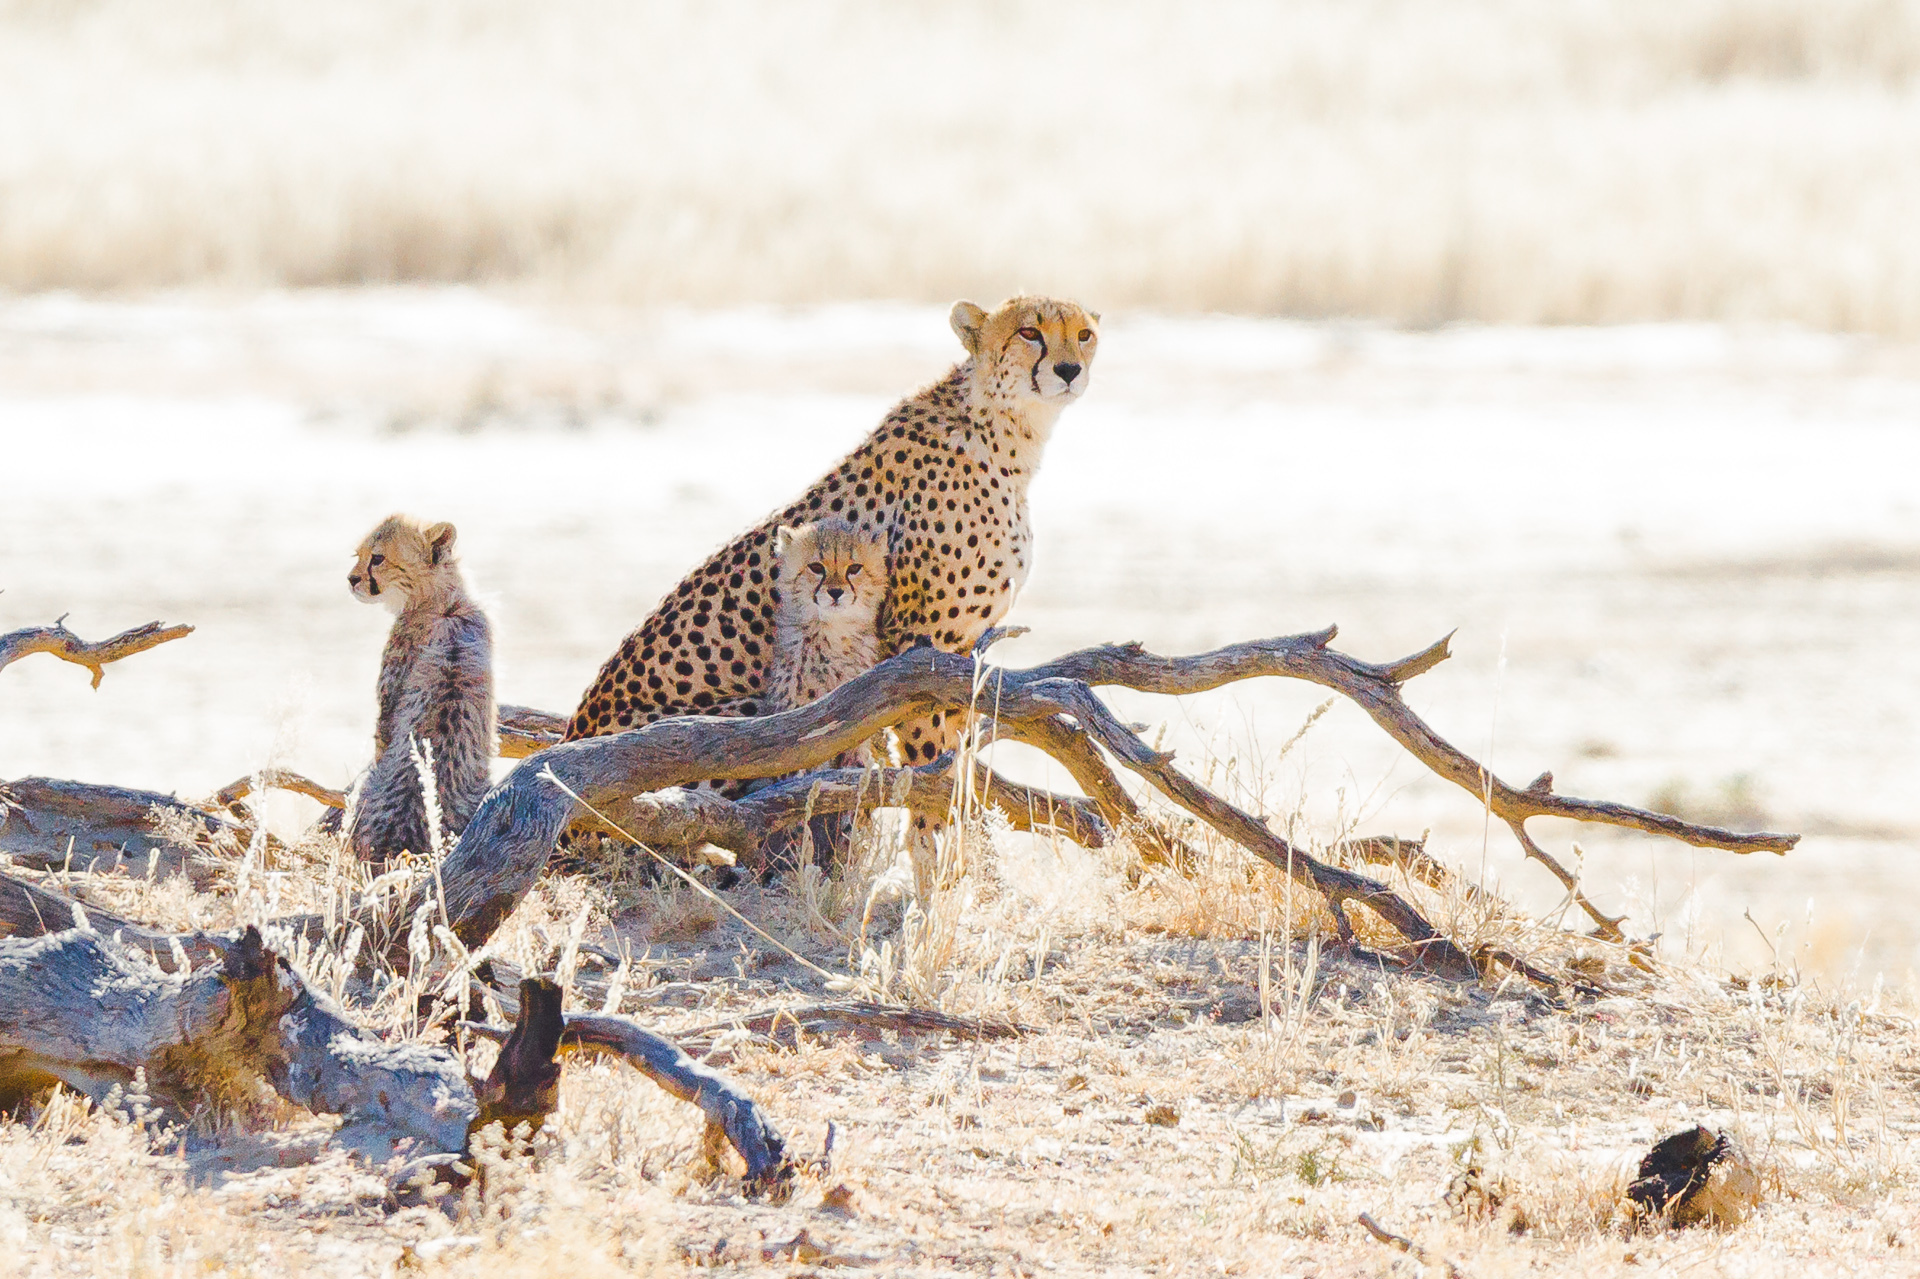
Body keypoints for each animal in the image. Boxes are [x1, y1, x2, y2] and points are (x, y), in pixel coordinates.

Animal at [564, 293, 1098, 772]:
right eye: (1029, 332)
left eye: (1084, 334)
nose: (1069, 370)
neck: (1007, 435)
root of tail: (572, 731)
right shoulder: (915, 651)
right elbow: (936, 775)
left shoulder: (960, 655)